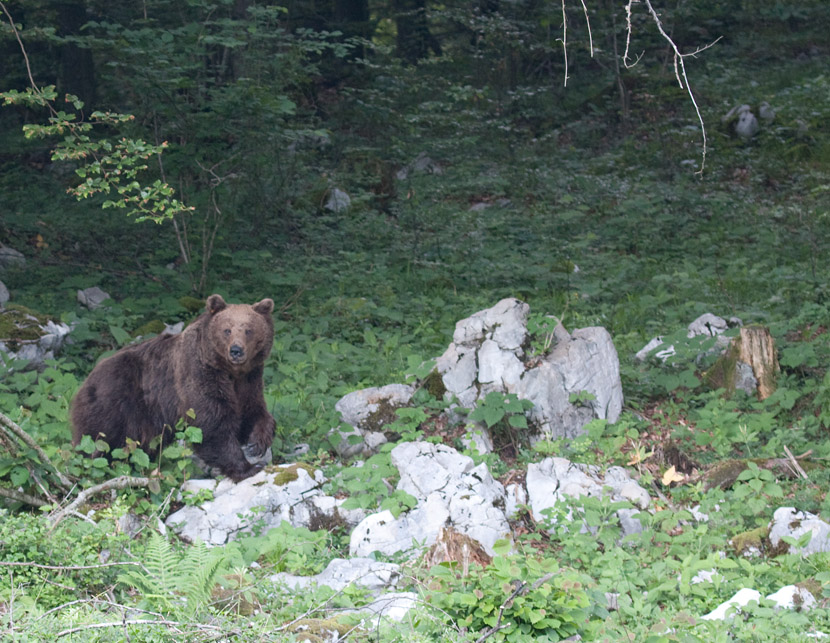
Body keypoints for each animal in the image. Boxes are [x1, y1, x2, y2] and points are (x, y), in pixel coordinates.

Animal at [70, 294, 276, 480]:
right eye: (227, 330)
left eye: (248, 330)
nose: (236, 351)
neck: (230, 371)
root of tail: (86, 380)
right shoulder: (199, 374)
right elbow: (212, 424)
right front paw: (248, 467)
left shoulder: (249, 380)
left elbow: (252, 410)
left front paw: (258, 442)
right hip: (114, 405)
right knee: (97, 443)